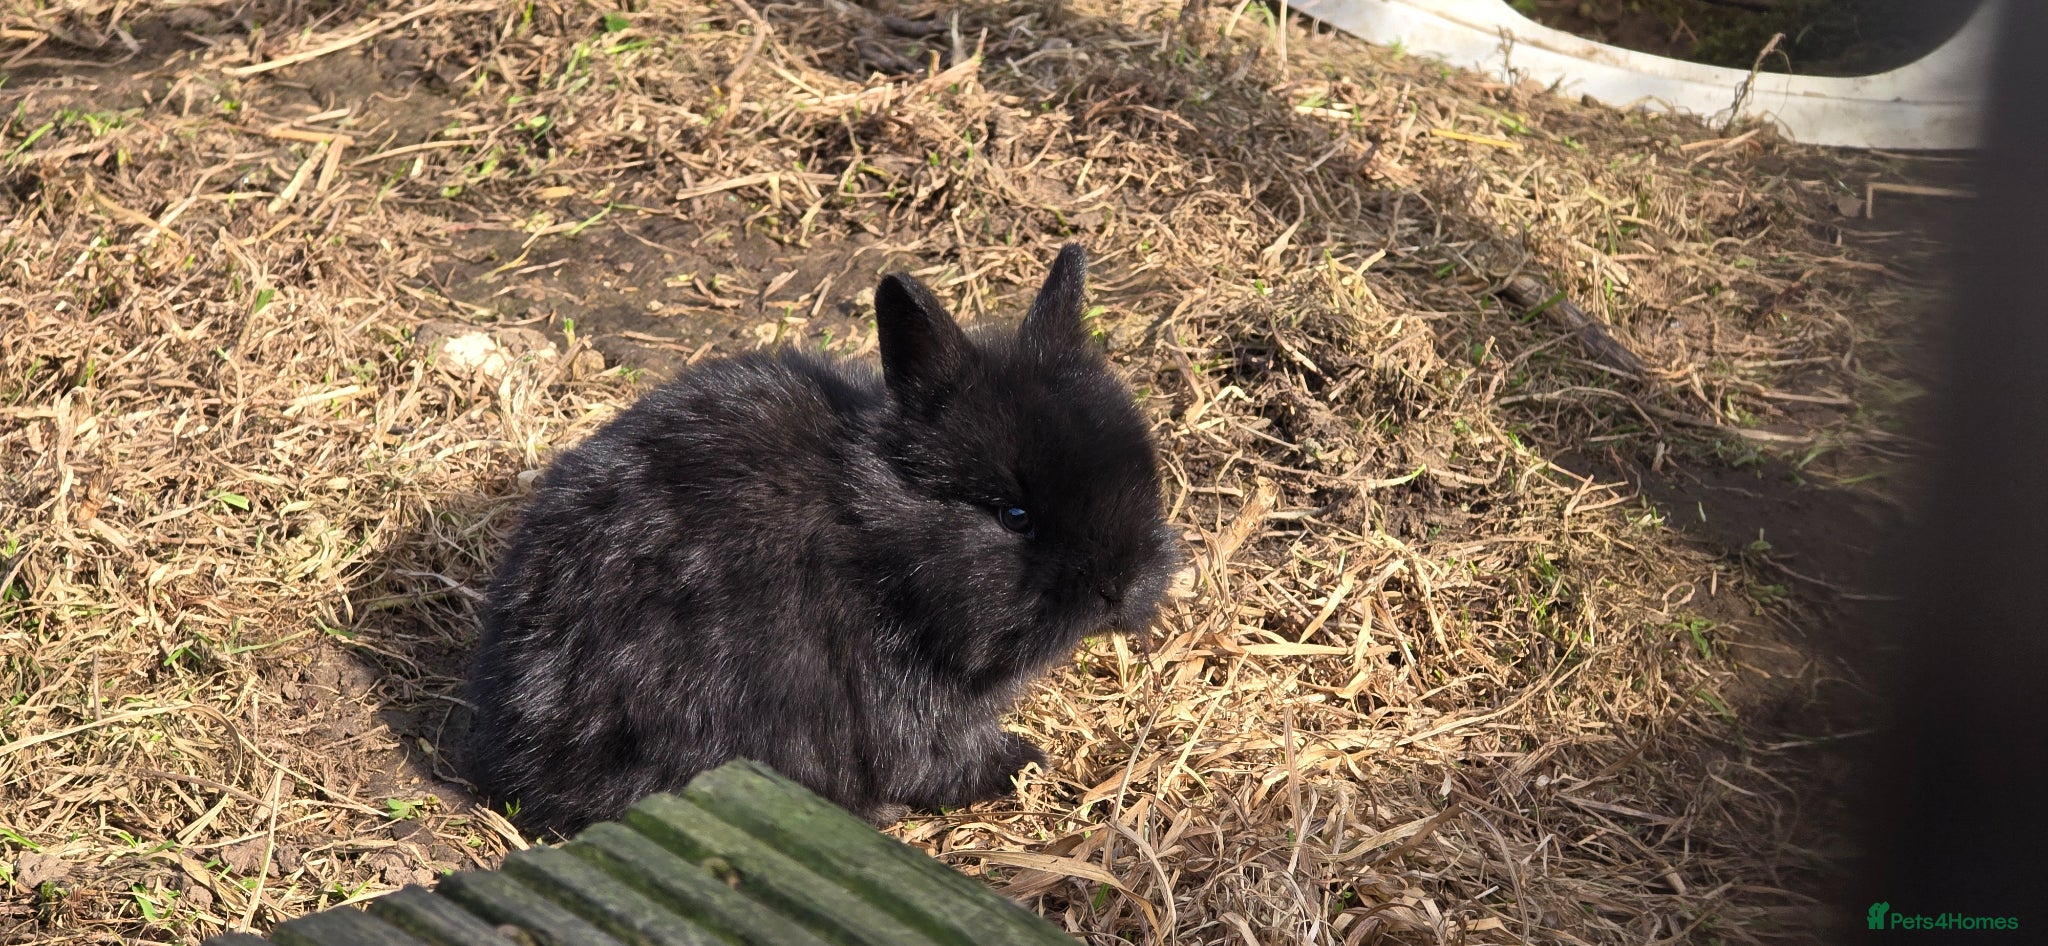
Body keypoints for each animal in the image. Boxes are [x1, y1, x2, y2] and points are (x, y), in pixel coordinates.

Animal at [462, 244, 1182, 836]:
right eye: (1014, 516)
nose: (1120, 588)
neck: (877, 537)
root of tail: (523, 751)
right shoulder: (905, 702)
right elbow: (942, 759)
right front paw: (1025, 762)